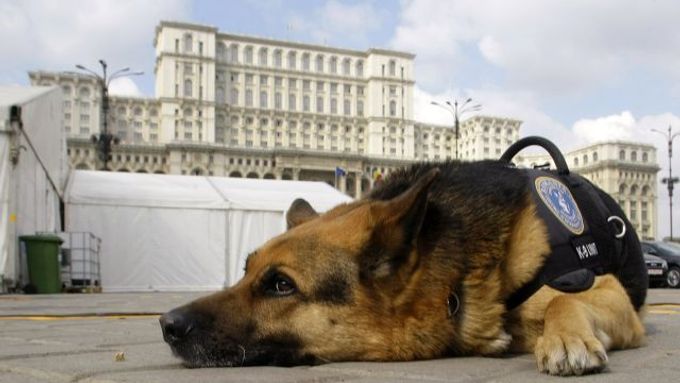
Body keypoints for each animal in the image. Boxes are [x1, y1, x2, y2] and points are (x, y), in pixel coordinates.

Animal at [161, 156, 648, 376]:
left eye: (281, 285)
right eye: (245, 271)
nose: (167, 324)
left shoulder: (609, 292)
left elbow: (563, 301)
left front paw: (566, 338)